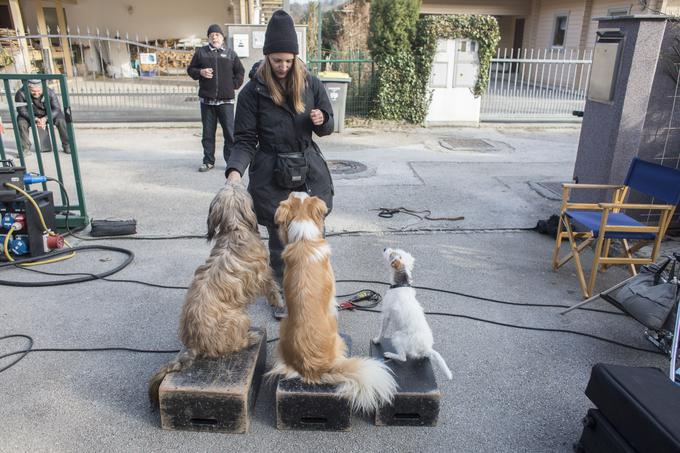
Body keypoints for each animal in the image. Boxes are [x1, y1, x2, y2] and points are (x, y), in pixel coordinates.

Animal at [148, 182, 282, 404]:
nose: (234, 180)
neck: (235, 228)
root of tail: (195, 343)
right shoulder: (263, 273)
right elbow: (271, 285)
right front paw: (278, 300)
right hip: (239, 318)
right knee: (233, 345)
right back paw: (251, 337)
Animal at [372, 247, 452, 378]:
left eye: (391, 254)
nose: (384, 248)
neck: (401, 284)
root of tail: (426, 347)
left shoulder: (386, 315)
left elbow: (382, 331)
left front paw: (377, 340)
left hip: (397, 336)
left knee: (403, 357)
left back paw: (389, 354)